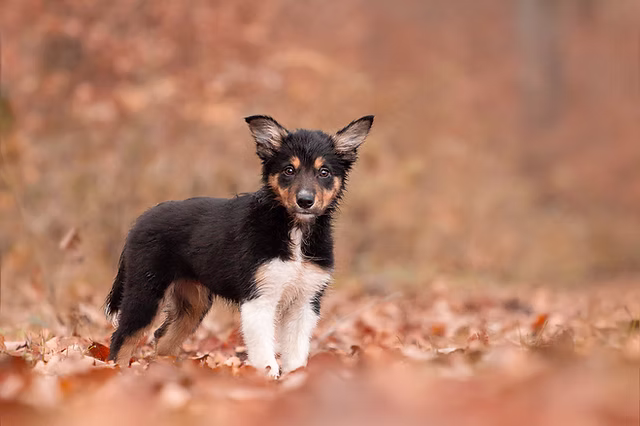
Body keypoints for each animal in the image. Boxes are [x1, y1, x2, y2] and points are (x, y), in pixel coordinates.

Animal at [104, 115, 373, 377]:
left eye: (324, 172)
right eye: (289, 170)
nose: (305, 201)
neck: (294, 230)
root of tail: (138, 222)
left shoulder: (305, 301)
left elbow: (296, 355)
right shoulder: (259, 298)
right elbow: (265, 354)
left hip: (193, 302)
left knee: (163, 340)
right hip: (146, 289)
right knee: (123, 338)